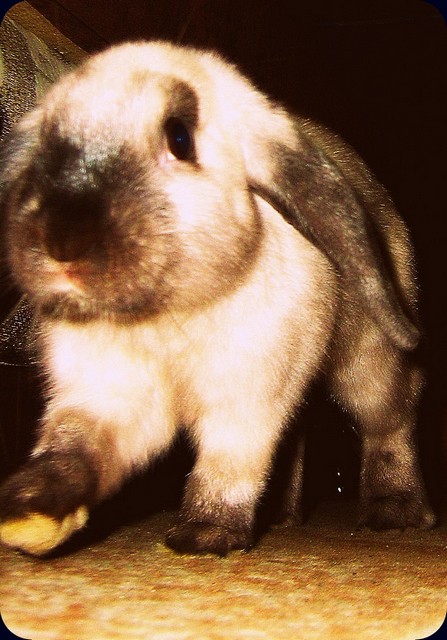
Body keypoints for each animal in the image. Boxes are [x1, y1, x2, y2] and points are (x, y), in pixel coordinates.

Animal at [0, 40, 435, 556]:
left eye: (179, 138)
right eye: (44, 141)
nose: (61, 242)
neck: (167, 318)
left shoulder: (249, 397)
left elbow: (230, 463)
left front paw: (205, 534)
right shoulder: (103, 396)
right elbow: (75, 446)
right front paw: (28, 508)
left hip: (370, 360)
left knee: (389, 421)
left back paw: (395, 512)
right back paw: (285, 515)